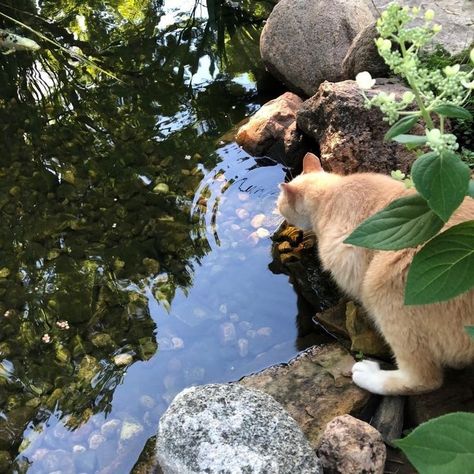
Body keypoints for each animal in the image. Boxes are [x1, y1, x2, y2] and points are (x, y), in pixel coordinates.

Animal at [278, 153, 474, 396]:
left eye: (280, 205)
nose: (280, 215)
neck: (330, 192)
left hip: (381, 288)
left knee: (425, 378)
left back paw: (368, 375)